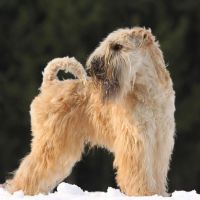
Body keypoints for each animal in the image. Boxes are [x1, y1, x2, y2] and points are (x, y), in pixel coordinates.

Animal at [5, 27, 175, 196]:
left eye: (118, 46)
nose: (94, 65)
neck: (148, 91)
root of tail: (50, 85)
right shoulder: (136, 140)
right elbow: (139, 172)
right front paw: (144, 193)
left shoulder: (160, 141)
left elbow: (157, 172)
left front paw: (158, 194)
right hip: (51, 142)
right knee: (31, 169)